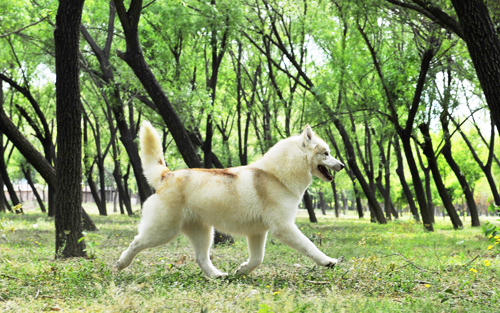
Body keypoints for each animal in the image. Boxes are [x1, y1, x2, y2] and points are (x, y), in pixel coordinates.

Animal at [116, 120, 344, 276]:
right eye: (326, 153)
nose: (342, 165)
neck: (277, 176)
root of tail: (166, 175)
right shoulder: (283, 227)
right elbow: (310, 246)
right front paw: (327, 261)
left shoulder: (258, 233)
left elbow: (257, 259)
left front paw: (241, 270)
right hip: (163, 231)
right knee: (136, 242)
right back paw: (121, 263)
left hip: (203, 233)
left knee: (201, 258)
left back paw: (217, 276)